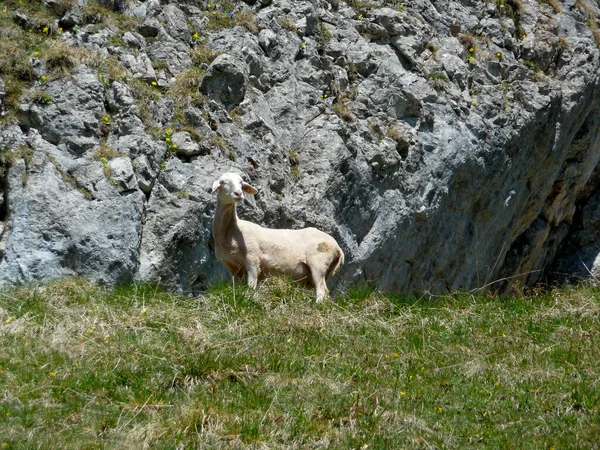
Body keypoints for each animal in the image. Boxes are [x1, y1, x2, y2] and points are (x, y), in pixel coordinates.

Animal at [212, 172, 344, 302]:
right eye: (223, 182)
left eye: (241, 182)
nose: (238, 193)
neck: (232, 232)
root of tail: (338, 247)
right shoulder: (233, 267)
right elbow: (237, 288)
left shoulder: (252, 259)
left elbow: (251, 286)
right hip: (320, 273)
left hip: (319, 262)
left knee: (322, 291)